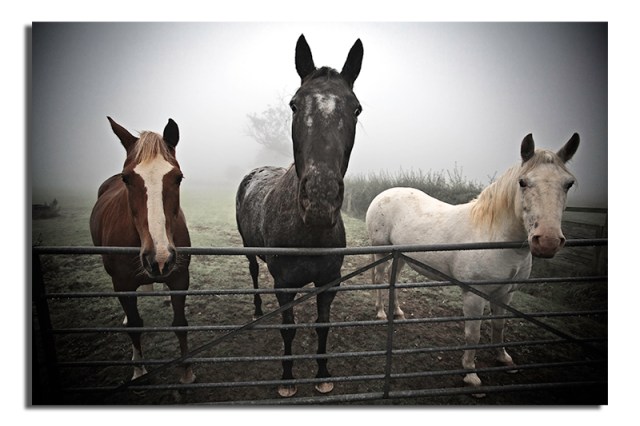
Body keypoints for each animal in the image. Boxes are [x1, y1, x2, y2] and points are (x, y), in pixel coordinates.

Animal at [90, 117, 195, 384]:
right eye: (127, 179)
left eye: (178, 178)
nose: (159, 258)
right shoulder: (122, 285)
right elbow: (136, 325)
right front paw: (138, 369)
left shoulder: (180, 277)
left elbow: (180, 322)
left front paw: (186, 371)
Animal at [235, 34, 363, 397]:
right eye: (294, 104)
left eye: (356, 108)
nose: (320, 201)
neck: (309, 234)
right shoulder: (284, 286)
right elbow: (288, 330)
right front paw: (288, 378)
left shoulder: (329, 283)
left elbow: (322, 326)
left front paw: (322, 374)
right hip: (249, 249)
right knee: (253, 273)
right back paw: (257, 310)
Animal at [366, 133, 580, 391]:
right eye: (523, 182)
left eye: (568, 183)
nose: (547, 241)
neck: (494, 237)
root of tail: (384, 194)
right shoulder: (474, 295)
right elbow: (473, 333)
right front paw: (470, 374)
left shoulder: (505, 293)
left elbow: (499, 326)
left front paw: (504, 359)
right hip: (381, 250)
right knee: (380, 278)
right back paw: (380, 313)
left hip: (400, 257)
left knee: (393, 279)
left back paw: (397, 312)